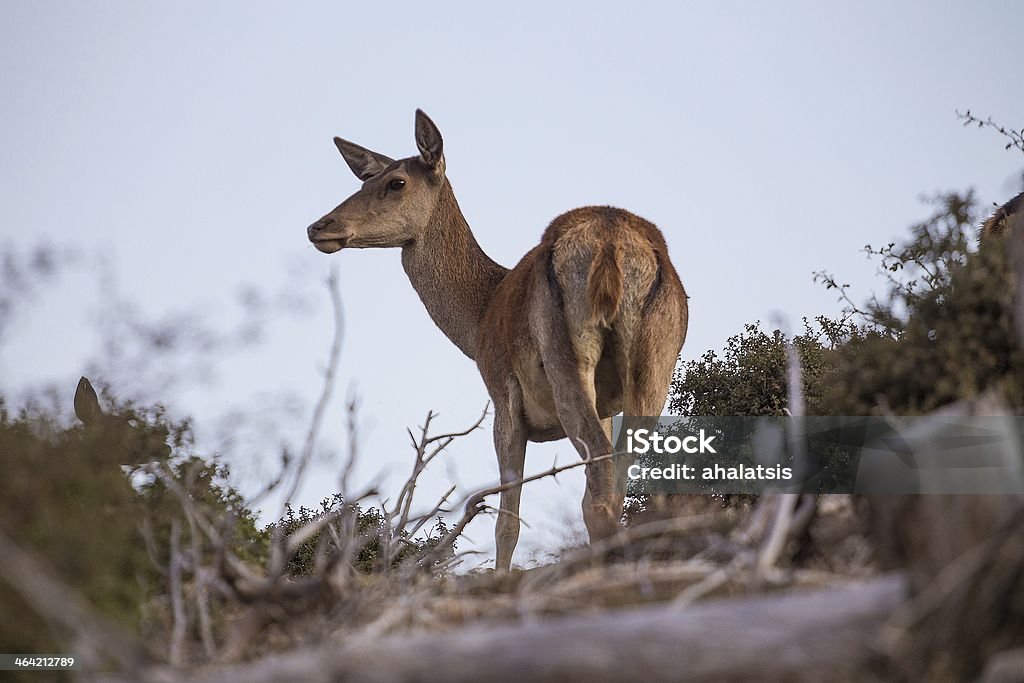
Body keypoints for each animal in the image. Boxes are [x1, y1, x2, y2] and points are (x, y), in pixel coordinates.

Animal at [303, 111, 688, 573]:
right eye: (364, 181)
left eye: (397, 182)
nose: (319, 226)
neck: (478, 320)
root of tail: (612, 244)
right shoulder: (608, 405)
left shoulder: (502, 394)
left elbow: (507, 522)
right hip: (656, 361)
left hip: (564, 355)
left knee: (598, 489)